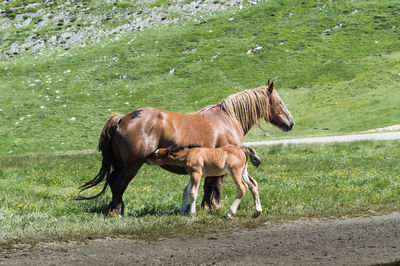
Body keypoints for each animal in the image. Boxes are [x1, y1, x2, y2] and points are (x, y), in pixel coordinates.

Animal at [78, 81, 294, 216]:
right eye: (279, 102)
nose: (290, 123)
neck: (227, 119)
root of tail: (122, 118)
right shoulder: (223, 166)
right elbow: (216, 186)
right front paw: (213, 207)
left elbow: (207, 186)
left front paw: (205, 207)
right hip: (131, 165)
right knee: (119, 183)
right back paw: (116, 211)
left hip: (121, 164)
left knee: (114, 183)